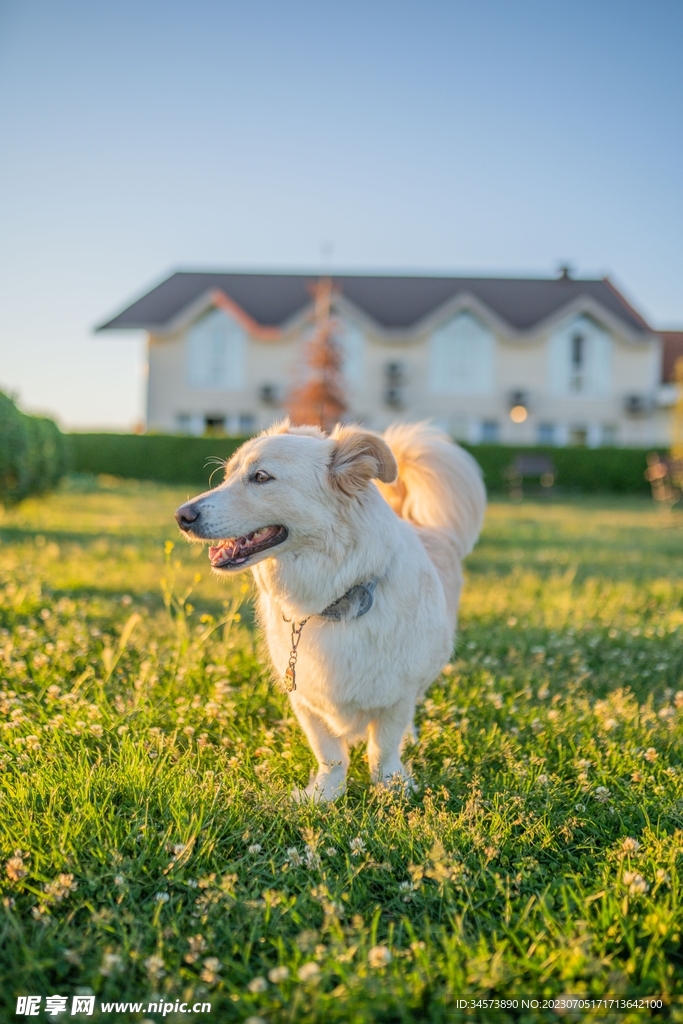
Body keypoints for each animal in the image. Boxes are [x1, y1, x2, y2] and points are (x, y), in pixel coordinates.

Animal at [176, 421, 485, 798]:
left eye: (261, 477)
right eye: (226, 476)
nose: (181, 516)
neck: (333, 599)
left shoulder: (396, 694)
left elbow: (383, 747)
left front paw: (391, 786)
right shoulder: (306, 700)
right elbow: (330, 753)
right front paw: (324, 795)